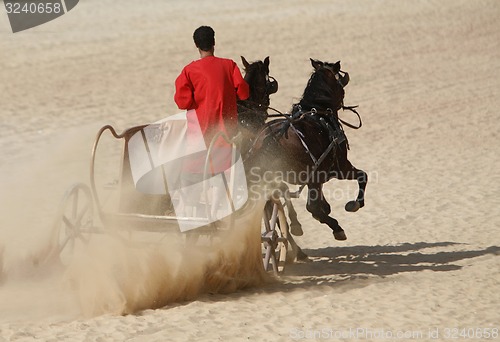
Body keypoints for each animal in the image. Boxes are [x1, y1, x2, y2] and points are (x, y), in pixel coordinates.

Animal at [246, 58, 368, 240]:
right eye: (339, 80)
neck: (318, 112)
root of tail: (268, 140)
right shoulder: (339, 167)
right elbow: (362, 176)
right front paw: (356, 203)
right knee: (311, 207)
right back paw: (335, 228)